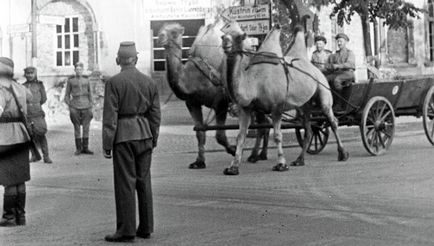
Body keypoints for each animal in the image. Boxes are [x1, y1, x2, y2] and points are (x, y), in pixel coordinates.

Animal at [158, 20, 270, 168]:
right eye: (160, 31)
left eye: (174, 33)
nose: (160, 37)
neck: (192, 80)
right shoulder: (192, 103)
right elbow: (200, 133)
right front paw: (199, 162)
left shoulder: (220, 102)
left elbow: (220, 135)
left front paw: (233, 150)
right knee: (265, 123)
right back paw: (262, 155)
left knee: (262, 124)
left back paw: (254, 155)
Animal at [220, 21, 350, 175]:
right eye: (223, 35)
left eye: (240, 37)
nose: (225, 42)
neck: (255, 81)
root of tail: (316, 69)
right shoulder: (246, 108)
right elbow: (241, 136)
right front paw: (233, 167)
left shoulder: (277, 106)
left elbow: (277, 136)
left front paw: (281, 164)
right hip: (304, 105)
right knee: (309, 129)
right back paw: (299, 160)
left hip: (323, 92)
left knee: (333, 121)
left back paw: (343, 154)